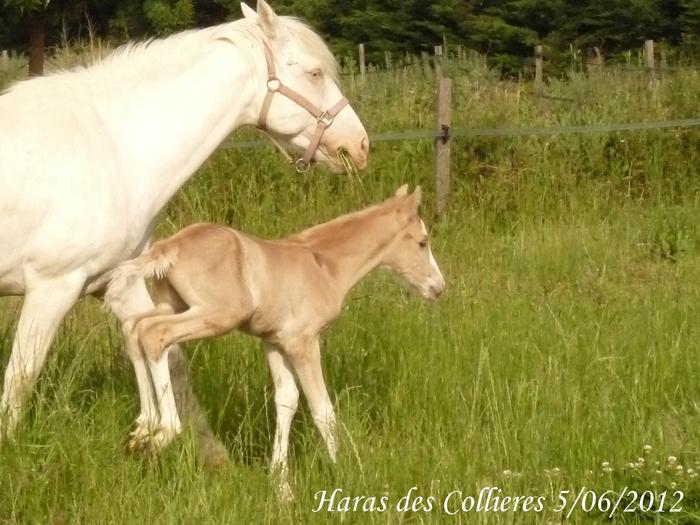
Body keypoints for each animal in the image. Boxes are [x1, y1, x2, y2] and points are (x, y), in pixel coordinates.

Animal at [0, 0, 370, 454]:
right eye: (315, 73)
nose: (359, 145)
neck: (113, 147)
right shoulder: (53, 287)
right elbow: (21, 376)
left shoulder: (117, 281)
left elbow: (156, 350)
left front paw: (158, 433)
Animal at [107, 186, 442, 498]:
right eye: (422, 242)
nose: (438, 287)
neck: (322, 264)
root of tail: (170, 246)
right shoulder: (304, 342)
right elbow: (322, 409)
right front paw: (347, 473)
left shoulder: (274, 342)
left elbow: (286, 401)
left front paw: (282, 487)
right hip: (217, 315)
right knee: (155, 335)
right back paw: (165, 430)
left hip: (175, 305)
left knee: (135, 329)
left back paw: (143, 427)